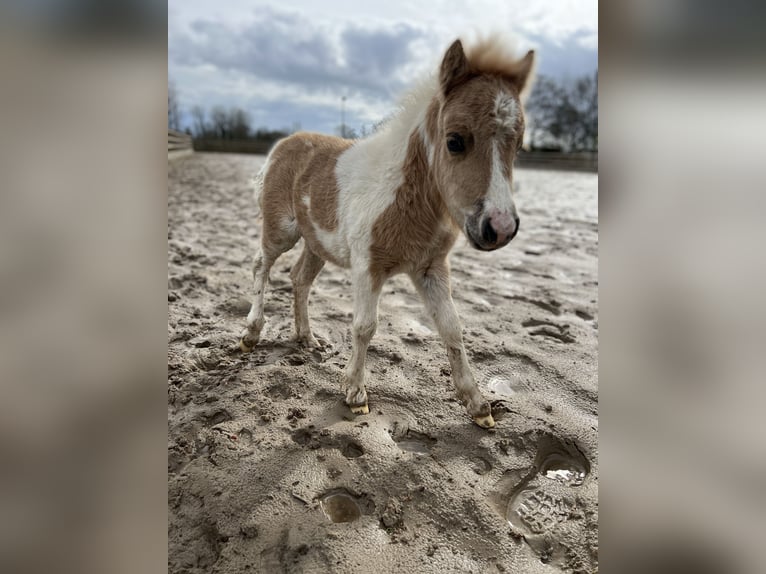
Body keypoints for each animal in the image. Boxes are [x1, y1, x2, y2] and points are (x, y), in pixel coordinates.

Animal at [240, 37, 536, 432]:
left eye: (518, 146)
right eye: (455, 141)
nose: (499, 229)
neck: (404, 196)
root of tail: (285, 142)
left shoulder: (430, 269)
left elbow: (452, 327)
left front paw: (478, 406)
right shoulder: (369, 267)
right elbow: (365, 326)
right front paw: (355, 395)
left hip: (317, 241)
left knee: (299, 278)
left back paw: (307, 338)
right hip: (282, 230)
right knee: (262, 264)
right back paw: (251, 333)